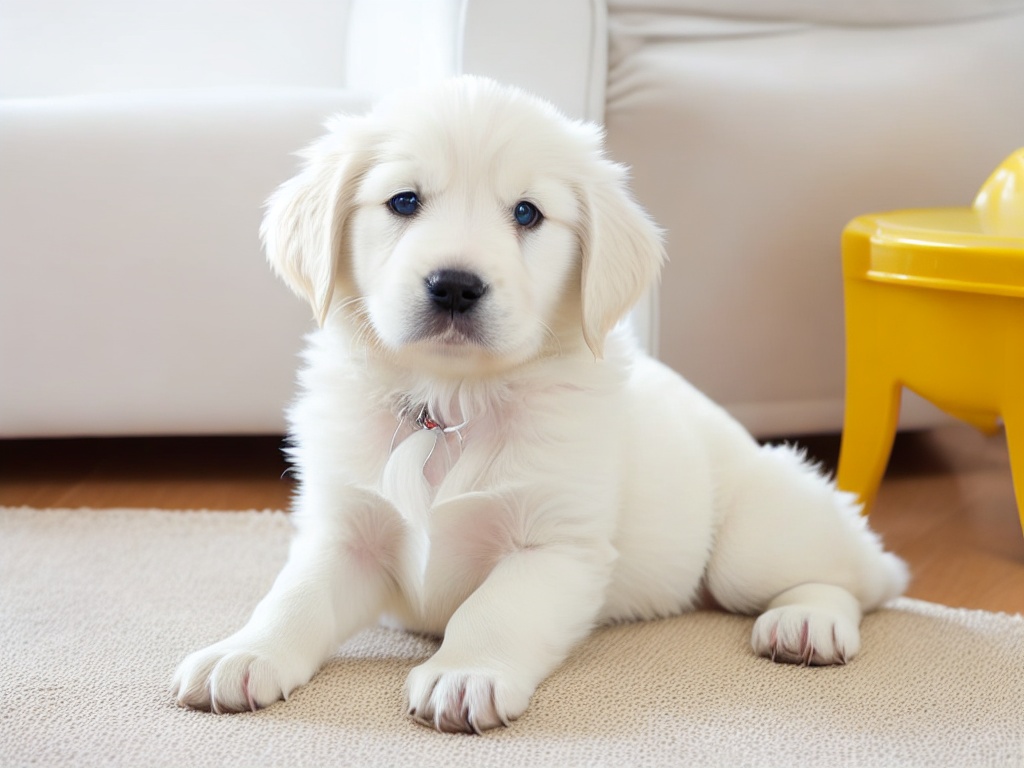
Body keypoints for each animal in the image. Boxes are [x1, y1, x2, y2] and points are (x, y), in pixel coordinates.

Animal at [172, 76, 909, 733]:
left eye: (527, 213)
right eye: (403, 201)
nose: (454, 285)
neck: (452, 406)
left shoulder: (555, 544)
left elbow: (495, 611)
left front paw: (466, 673)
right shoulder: (344, 531)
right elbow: (294, 598)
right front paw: (243, 654)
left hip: (751, 542)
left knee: (863, 576)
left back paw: (807, 622)